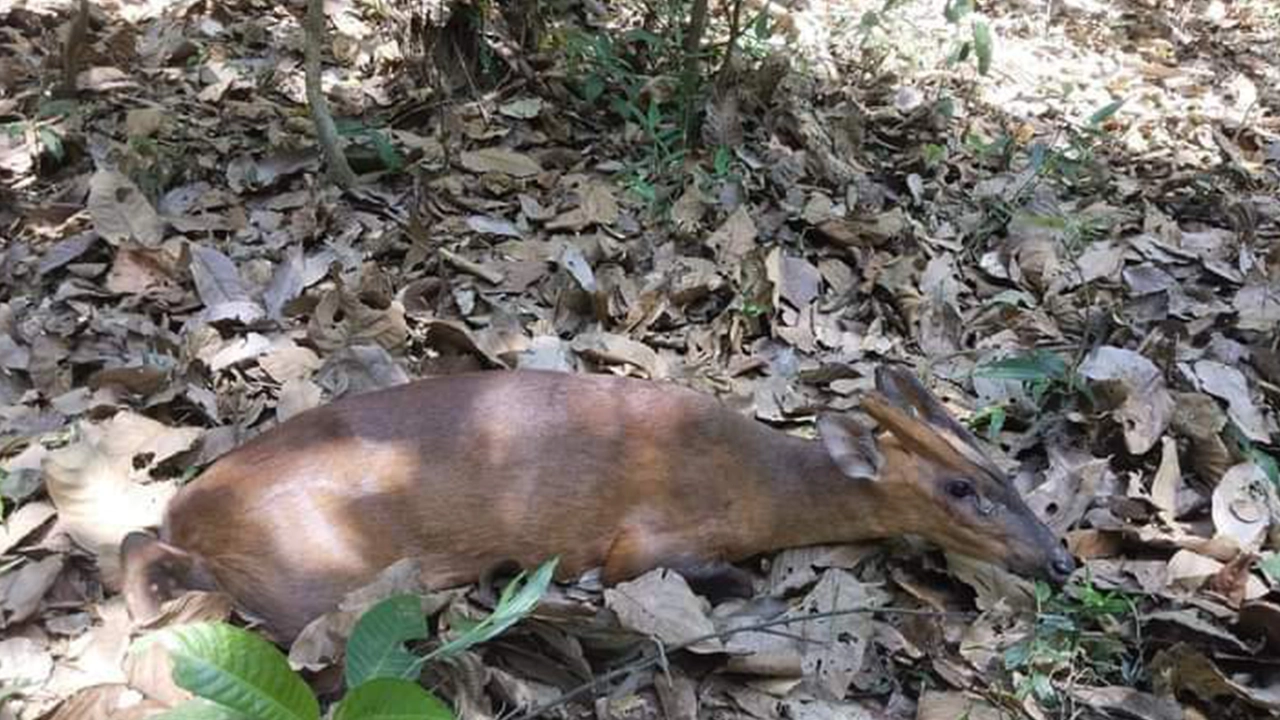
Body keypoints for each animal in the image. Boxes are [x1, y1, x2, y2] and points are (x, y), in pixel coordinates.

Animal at [122, 363, 1080, 638]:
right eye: (961, 488)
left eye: (1008, 474)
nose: (1063, 559)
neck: (766, 486)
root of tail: (193, 515)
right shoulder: (642, 539)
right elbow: (678, 570)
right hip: (317, 572)